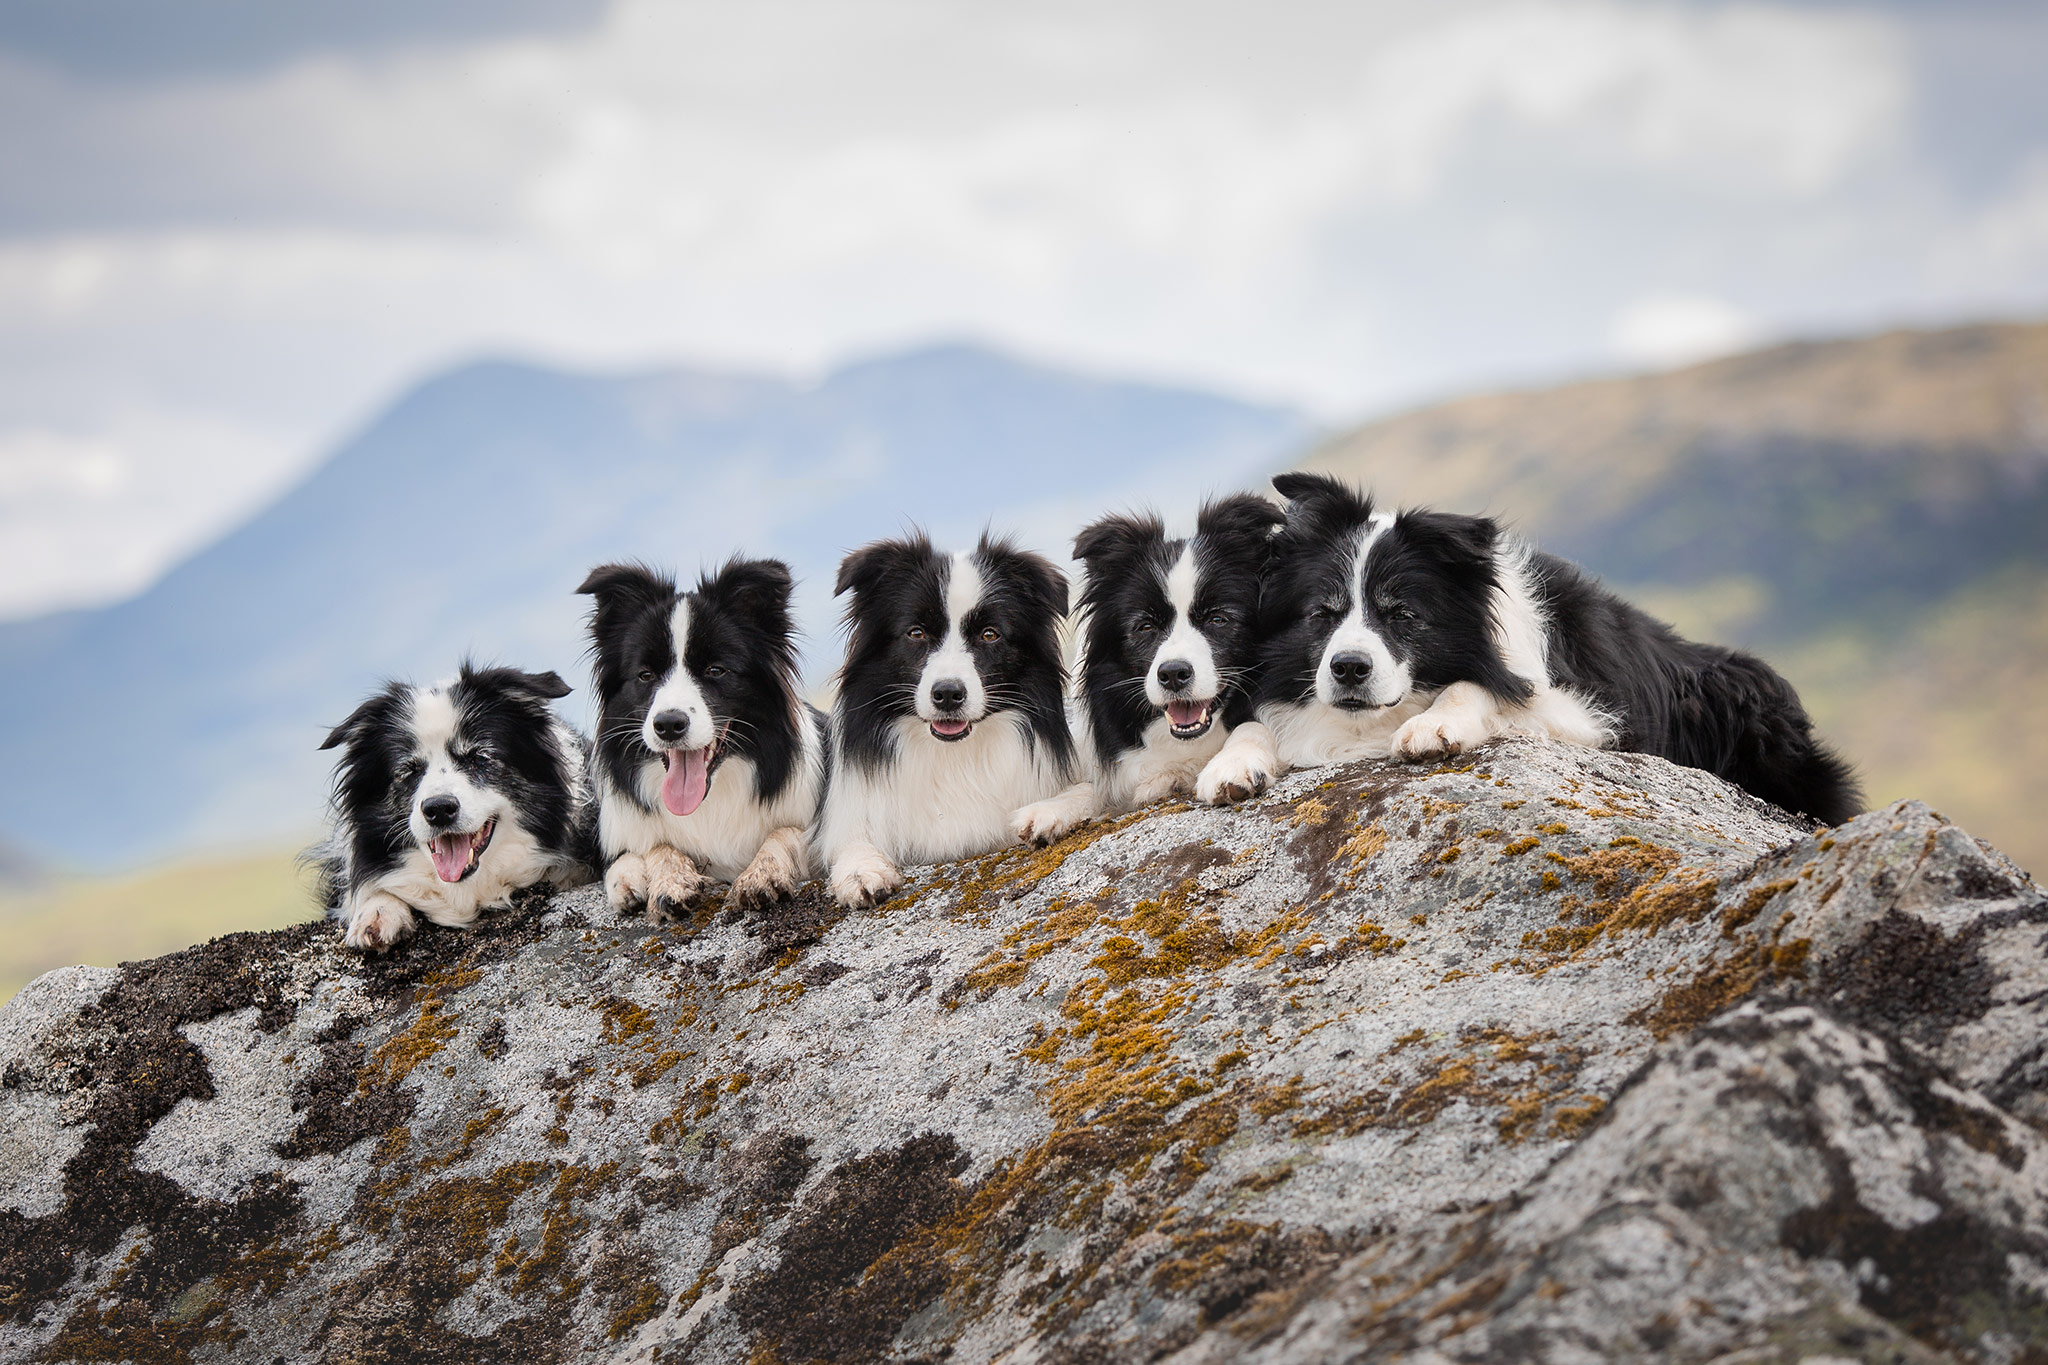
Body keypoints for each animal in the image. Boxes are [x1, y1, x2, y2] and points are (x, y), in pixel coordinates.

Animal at [577, 560, 823, 925]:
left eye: (715, 670)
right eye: (645, 675)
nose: (668, 725)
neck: (711, 799)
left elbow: (785, 832)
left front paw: (760, 875)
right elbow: (654, 847)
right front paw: (667, 881)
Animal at [819, 532, 1081, 908]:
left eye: (990, 634)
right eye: (916, 633)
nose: (947, 694)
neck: (953, 755)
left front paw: (1050, 811)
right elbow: (851, 837)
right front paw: (861, 869)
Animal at [1011, 497, 1277, 847]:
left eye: (1218, 619)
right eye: (1145, 626)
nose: (1173, 674)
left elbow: (1255, 725)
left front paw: (1234, 764)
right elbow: (1102, 786)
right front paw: (1053, 807)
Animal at [1196, 474, 1859, 826]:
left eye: (1403, 614)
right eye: (1323, 615)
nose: (1348, 669)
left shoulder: (1596, 714)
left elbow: (1492, 690)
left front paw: (1433, 728)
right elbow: (1253, 724)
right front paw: (1231, 766)